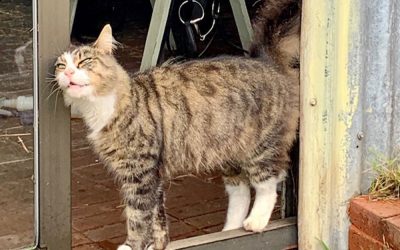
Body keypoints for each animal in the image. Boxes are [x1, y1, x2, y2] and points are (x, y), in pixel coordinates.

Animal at [55, 7, 300, 248]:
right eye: (61, 65)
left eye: (84, 62)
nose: (67, 73)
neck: (100, 107)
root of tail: (266, 62)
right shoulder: (152, 176)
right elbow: (157, 219)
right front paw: (157, 244)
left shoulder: (140, 174)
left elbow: (137, 218)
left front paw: (132, 244)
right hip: (229, 154)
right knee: (240, 191)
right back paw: (229, 231)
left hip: (260, 149)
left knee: (268, 183)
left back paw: (256, 221)